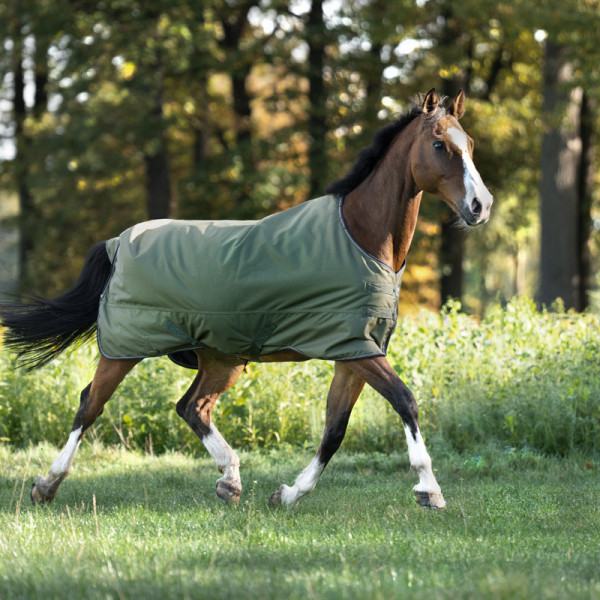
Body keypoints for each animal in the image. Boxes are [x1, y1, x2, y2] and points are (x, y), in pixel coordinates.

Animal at [0, 89, 492, 510]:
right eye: (439, 144)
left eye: (469, 143)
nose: (480, 205)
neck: (361, 237)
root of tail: (118, 242)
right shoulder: (358, 350)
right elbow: (405, 401)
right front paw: (429, 490)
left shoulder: (354, 353)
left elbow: (334, 430)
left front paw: (288, 494)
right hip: (124, 348)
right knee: (90, 405)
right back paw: (47, 485)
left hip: (222, 358)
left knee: (192, 407)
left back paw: (230, 480)